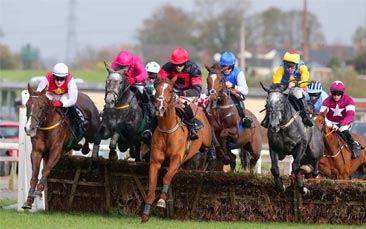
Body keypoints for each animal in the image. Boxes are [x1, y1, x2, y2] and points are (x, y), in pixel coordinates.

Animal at [142, 76, 213, 222]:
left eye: (170, 90)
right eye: (157, 89)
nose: (159, 108)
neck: (167, 130)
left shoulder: (176, 159)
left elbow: (166, 178)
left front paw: (161, 200)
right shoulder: (155, 162)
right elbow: (151, 186)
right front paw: (145, 213)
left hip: (207, 138)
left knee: (209, 145)